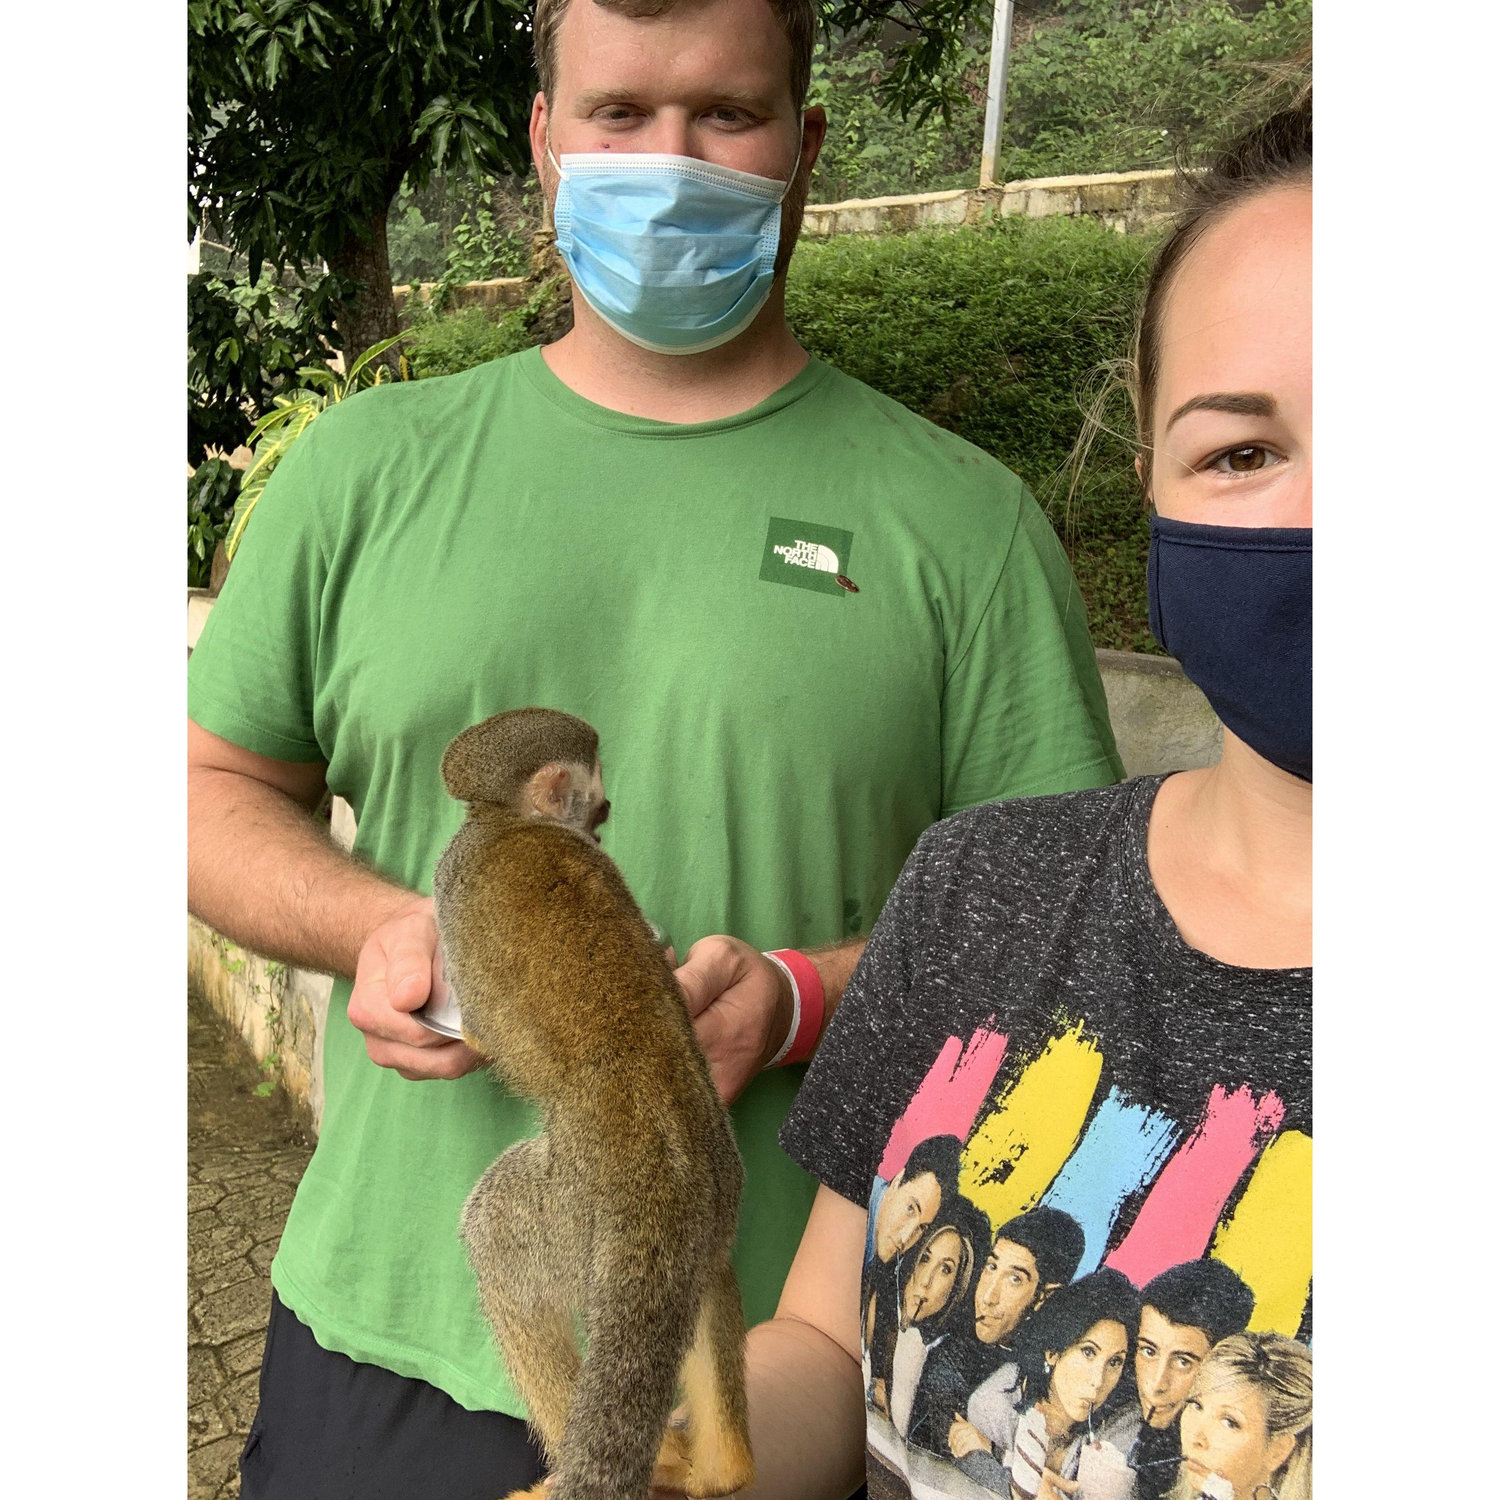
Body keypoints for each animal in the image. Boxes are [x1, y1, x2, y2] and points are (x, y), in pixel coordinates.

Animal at [431, 707, 755, 1500]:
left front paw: (471, 1034)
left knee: (496, 1240)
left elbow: (481, 1022)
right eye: (601, 807)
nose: (603, 829)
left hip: (574, 1213)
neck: (507, 818)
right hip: (713, 1205)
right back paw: (724, 1468)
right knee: (705, 1282)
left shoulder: (453, 875)